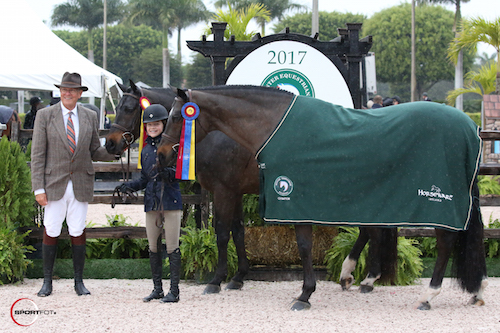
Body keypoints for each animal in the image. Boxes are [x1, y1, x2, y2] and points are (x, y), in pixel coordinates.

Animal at [105, 81, 258, 294]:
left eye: (128, 109)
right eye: (117, 108)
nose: (110, 144)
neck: (215, 134)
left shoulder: (224, 192)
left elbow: (222, 234)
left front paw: (216, 280)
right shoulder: (235, 192)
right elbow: (238, 231)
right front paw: (238, 277)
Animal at [159, 85, 488, 308]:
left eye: (176, 116)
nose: (161, 153)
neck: (273, 127)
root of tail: (470, 127)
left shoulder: (282, 196)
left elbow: (297, 245)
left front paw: (303, 294)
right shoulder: (249, 194)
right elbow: (243, 234)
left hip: (437, 201)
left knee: (445, 240)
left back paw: (427, 294)